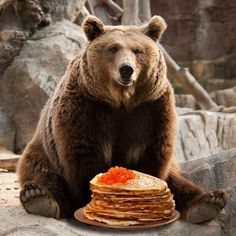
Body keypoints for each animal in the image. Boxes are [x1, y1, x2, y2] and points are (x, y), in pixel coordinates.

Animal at [17, 15, 227, 223]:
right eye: (113, 48)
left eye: (137, 50)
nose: (126, 69)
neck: (122, 100)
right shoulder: (87, 105)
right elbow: (83, 152)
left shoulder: (151, 108)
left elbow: (152, 153)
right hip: (43, 153)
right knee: (44, 175)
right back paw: (38, 198)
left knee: (179, 183)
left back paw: (208, 202)